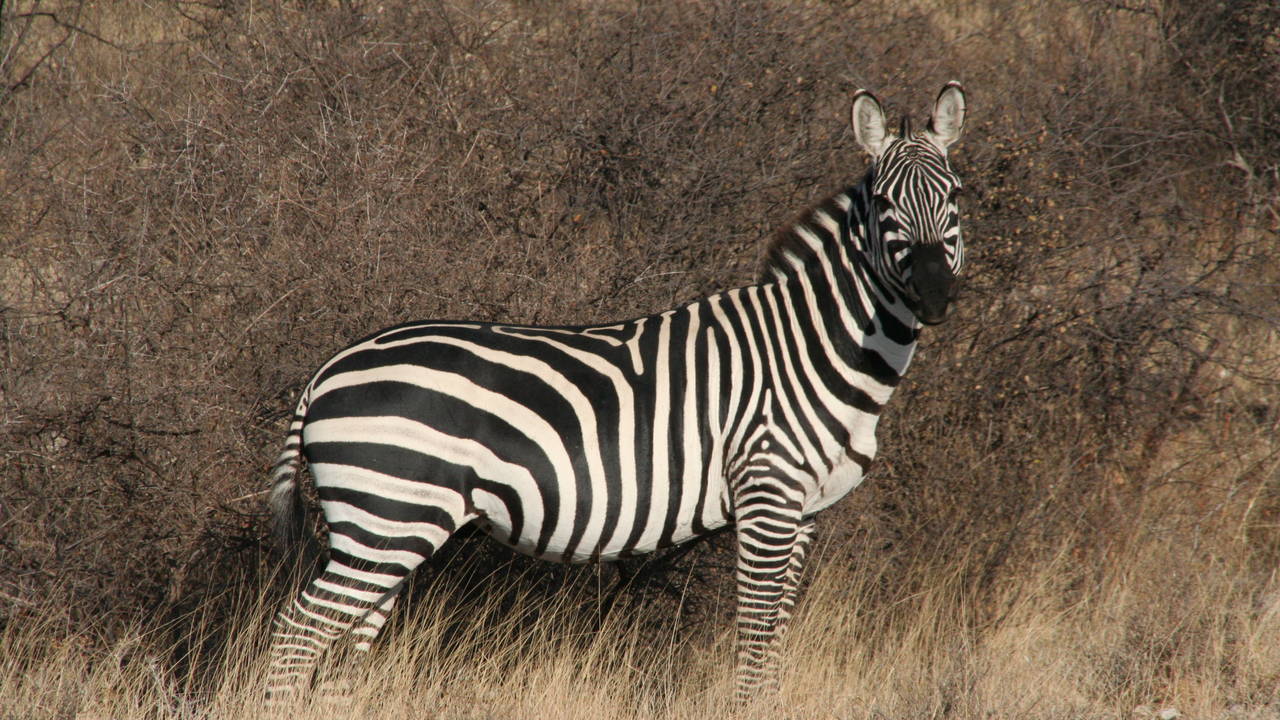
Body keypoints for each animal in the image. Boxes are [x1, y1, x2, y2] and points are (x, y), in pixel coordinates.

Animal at [263, 81, 967, 705]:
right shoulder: (767, 494)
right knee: (296, 637)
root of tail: (326, 370)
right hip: (386, 513)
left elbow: (775, 643)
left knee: (344, 646)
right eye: (884, 202)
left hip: (391, 524)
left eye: (956, 195)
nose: (936, 295)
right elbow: (756, 639)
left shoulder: (804, 513)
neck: (812, 347)